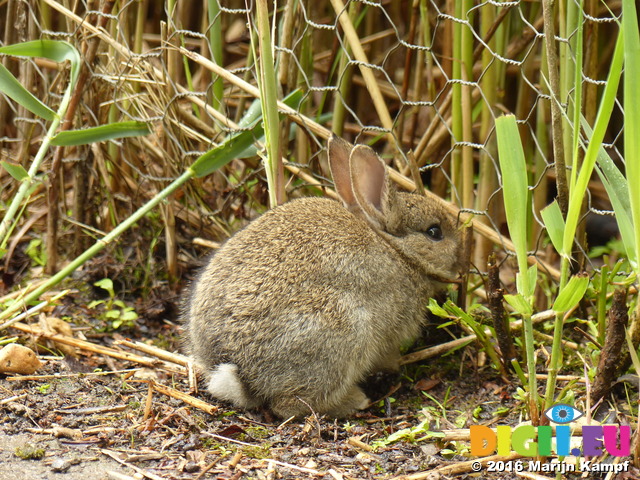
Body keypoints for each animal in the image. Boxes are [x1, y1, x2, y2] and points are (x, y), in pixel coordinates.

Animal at [182, 134, 462, 416]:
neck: (395, 248)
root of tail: (236, 372)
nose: (461, 258)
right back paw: (356, 400)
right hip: (342, 330)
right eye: (434, 232)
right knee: (289, 404)